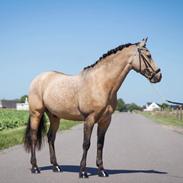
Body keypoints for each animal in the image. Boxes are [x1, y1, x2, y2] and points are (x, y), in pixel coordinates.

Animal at [24, 38, 162, 178]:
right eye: (149, 55)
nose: (158, 76)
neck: (101, 83)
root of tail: (38, 78)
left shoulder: (105, 121)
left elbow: (100, 144)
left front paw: (102, 170)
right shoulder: (89, 119)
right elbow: (86, 144)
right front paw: (83, 172)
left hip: (54, 116)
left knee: (51, 138)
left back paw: (56, 166)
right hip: (36, 113)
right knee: (34, 137)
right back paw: (35, 167)